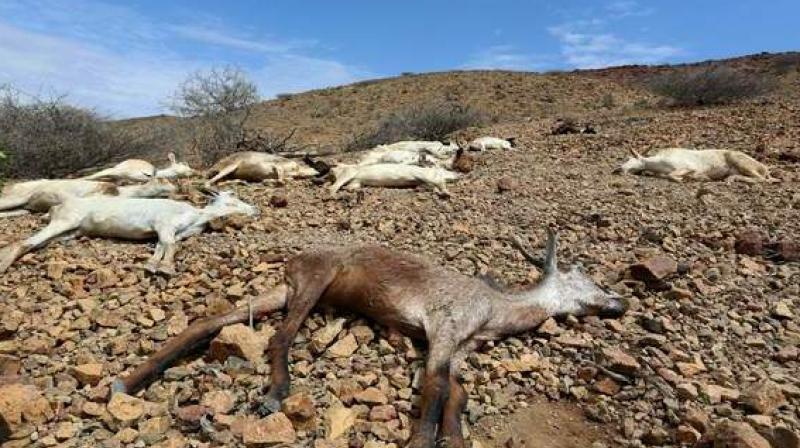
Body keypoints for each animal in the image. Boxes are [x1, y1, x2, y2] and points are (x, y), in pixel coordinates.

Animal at [0, 190, 258, 276]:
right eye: (233, 201)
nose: (255, 209)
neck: (196, 214)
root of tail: (57, 207)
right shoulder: (164, 224)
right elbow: (170, 245)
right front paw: (166, 269)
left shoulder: (168, 233)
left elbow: (162, 246)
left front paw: (152, 265)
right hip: (66, 221)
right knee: (24, 242)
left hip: (71, 231)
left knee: (36, 243)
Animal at [251, 229, 626, 448]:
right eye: (589, 280)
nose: (619, 304)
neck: (494, 310)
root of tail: (291, 265)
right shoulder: (444, 327)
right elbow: (437, 386)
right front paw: (422, 441)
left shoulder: (462, 346)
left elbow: (457, 393)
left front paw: (453, 439)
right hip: (316, 278)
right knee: (281, 337)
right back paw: (275, 394)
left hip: (290, 291)